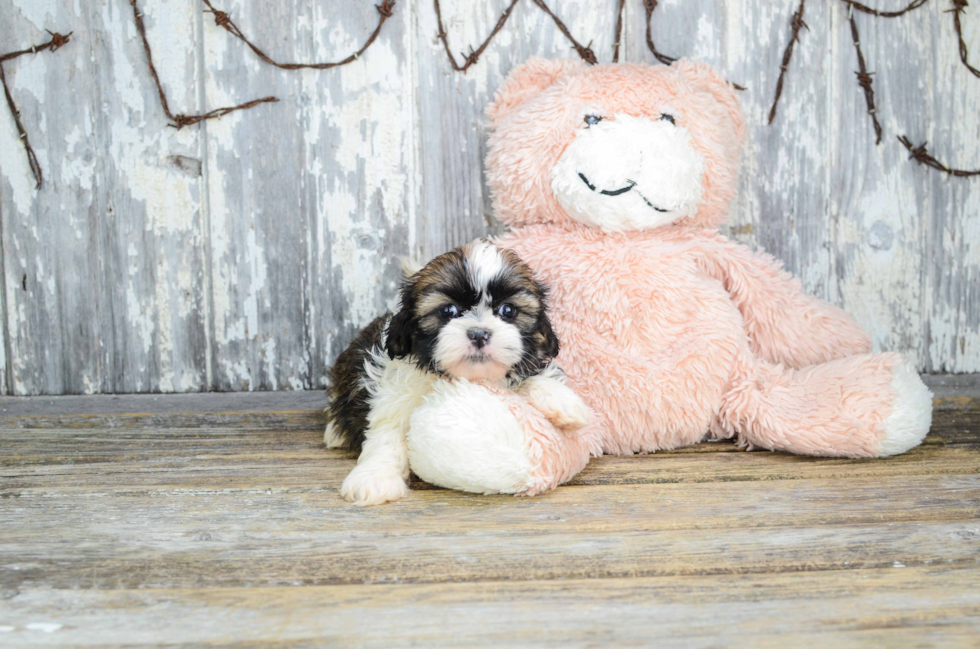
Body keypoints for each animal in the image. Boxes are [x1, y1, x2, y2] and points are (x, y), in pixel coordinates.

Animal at [328, 239, 588, 506]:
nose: (479, 333)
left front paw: (563, 401)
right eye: (448, 311)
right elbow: (387, 434)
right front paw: (374, 477)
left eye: (507, 310)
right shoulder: (396, 396)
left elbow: (531, 377)